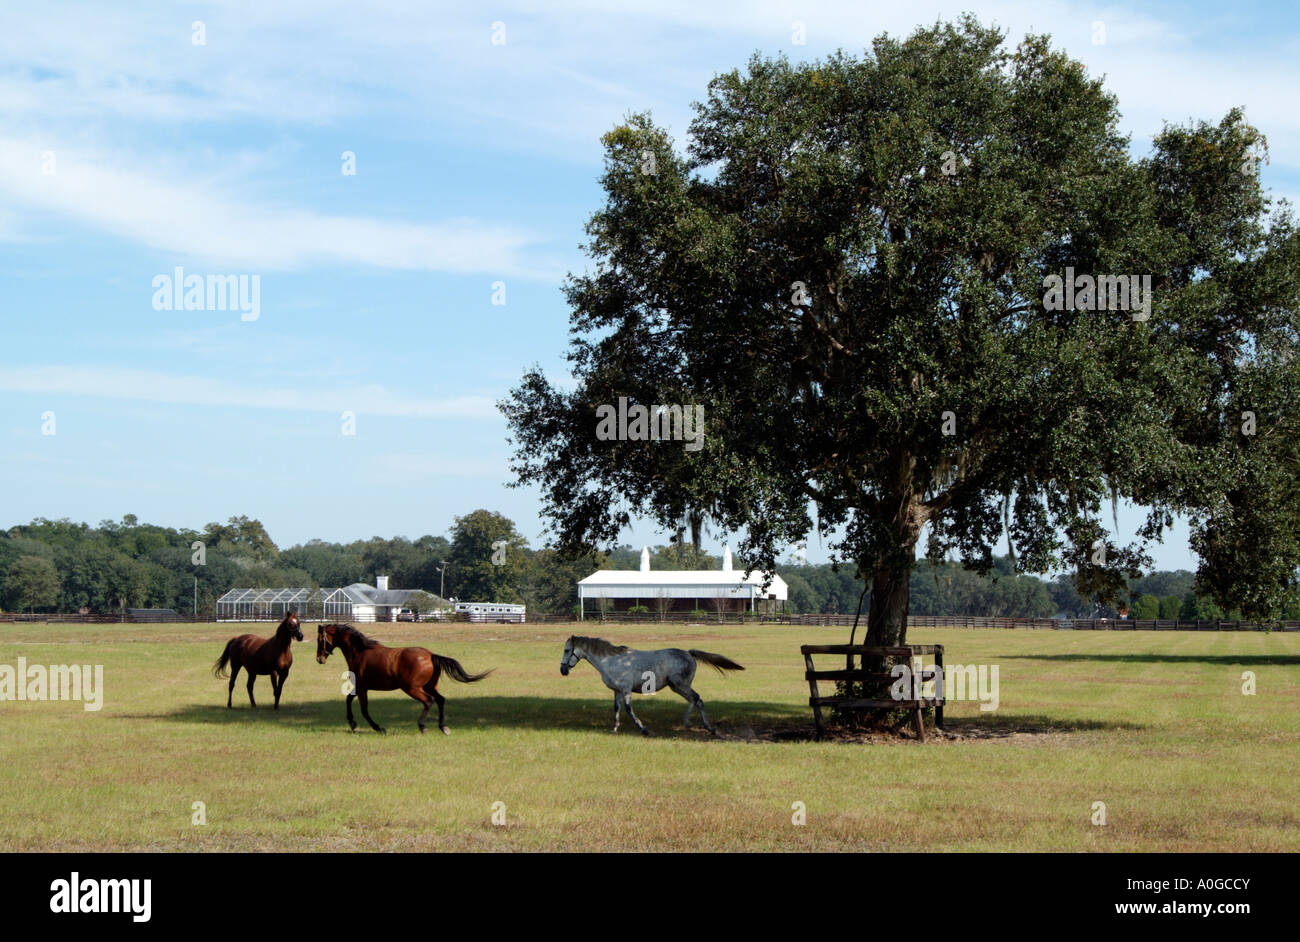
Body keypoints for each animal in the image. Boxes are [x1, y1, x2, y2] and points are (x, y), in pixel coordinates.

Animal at [315, 623, 493, 734]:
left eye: (320, 639)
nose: (319, 659)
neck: (360, 652)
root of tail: (430, 655)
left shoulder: (362, 688)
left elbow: (363, 709)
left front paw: (378, 728)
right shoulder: (359, 687)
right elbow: (348, 700)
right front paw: (352, 723)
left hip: (412, 688)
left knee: (428, 701)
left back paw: (423, 726)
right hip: (429, 686)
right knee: (440, 700)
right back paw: (443, 727)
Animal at [559, 635, 744, 736]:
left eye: (567, 650)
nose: (563, 670)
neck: (611, 661)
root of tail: (689, 653)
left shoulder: (626, 691)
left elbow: (629, 710)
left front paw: (644, 729)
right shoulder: (617, 692)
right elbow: (616, 710)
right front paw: (615, 729)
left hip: (680, 684)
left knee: (696, 699)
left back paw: (694, 724)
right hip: (677, 686)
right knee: (696, 700)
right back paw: (703, 727)